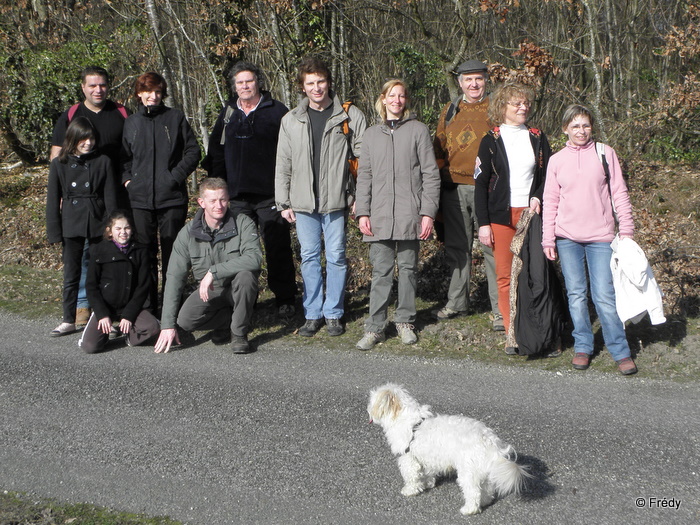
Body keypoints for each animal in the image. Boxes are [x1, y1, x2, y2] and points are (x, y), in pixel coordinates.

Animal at [370, 382, 528, 512]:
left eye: (371, 402)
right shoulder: (429, 458)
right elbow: (427, 473)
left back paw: (469, 510)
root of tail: (489, 441)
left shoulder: (408, 458)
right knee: (487, 490)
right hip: (482, 471)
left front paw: (410, 490)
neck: (409, 421)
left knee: (473, 492)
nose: (368, 410)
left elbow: (411, 477)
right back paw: (484, 502)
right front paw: (427, 484)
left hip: (467, 472)